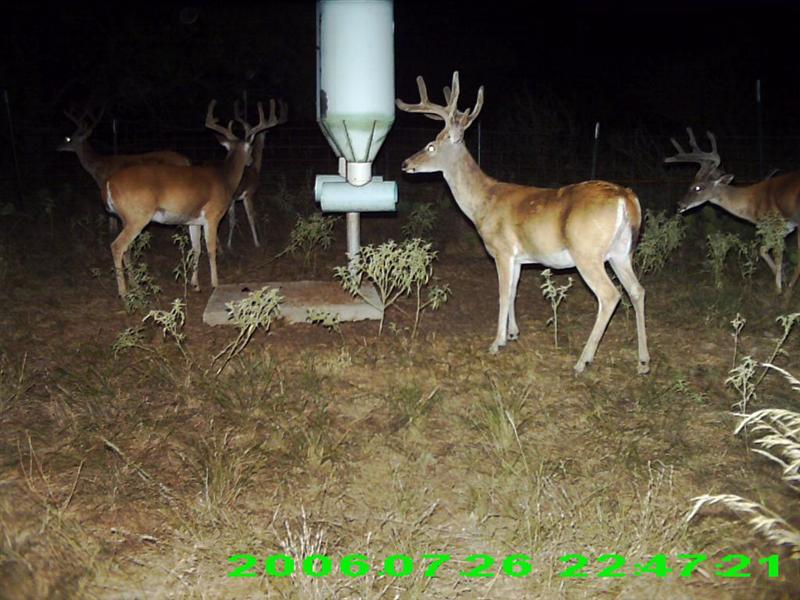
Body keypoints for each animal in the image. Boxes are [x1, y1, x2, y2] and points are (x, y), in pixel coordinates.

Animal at [57, 107, 191, 232]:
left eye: (68, 138)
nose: (58, 147)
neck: (98, 166)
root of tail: (186, 160)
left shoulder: (104, 184)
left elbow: (111, 214)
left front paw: (112, 229)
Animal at [103, 99, 276, 298]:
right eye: (250, 148)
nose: (250, 162)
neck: (225, 178)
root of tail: (108, 184)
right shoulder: (213, 215)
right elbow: (210, 249)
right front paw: (215, 283)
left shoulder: (193, 221)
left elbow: (196, 249)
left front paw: (195, 284)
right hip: (137, 216)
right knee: (117, 246)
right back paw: (124, 292)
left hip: (126, 218)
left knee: (127, 249)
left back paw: (134, 285)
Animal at [226, 96, 288, 250]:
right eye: (265, 133)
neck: (254, 169)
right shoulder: (248, 194)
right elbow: (250, 217)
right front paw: (257, 242)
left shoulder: (235, 200)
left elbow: (232, 220)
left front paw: (229, 245)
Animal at [396, 72, 650, 375]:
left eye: (432, 145)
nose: (405, 163)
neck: (483, 203)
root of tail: (627, 197)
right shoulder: (519, 258)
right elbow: (514, 292)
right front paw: (513, 333)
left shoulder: (502, 250)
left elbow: (503, 294)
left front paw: (496, 343)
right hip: (621, 252)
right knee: (637, 290)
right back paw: (643, 362)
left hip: (587, 253)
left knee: (610, 295)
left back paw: (582, 361)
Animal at [665, 127, 800, 292]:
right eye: (690, 184)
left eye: (698, 187)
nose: (679, 205)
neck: (753, 203)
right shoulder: (787, 228)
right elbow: (763, 250)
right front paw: (783, 279)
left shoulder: (775, 224)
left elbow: (777, 254)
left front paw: (779, 288)